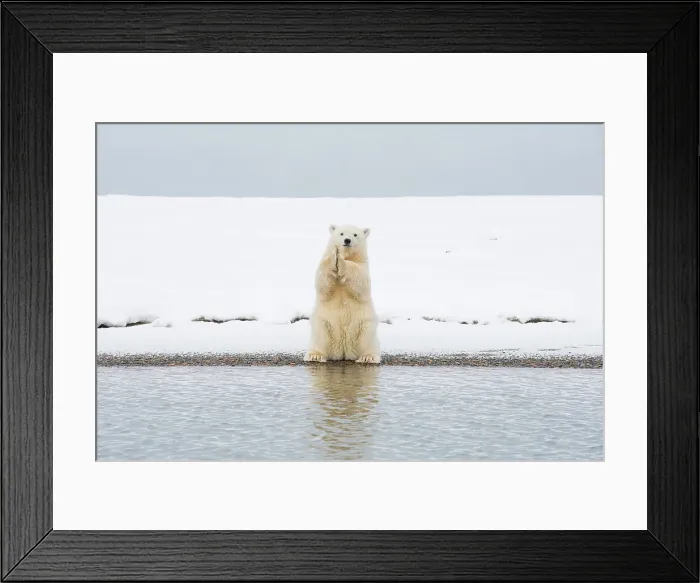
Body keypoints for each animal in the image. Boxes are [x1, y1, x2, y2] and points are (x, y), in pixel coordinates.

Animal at [304, 224, 381, 364]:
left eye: (355, 234)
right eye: (341, 233)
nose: (347, 240)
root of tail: (343, 351)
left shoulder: (362, 265)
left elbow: (360, 279)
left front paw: (341, 261)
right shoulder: (322, 264)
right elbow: (322, 282)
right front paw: (335, 255)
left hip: (365, 323)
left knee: (367, 338)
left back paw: (368, 357)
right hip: (323, 322)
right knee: (321, 335)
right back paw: (315, 356)